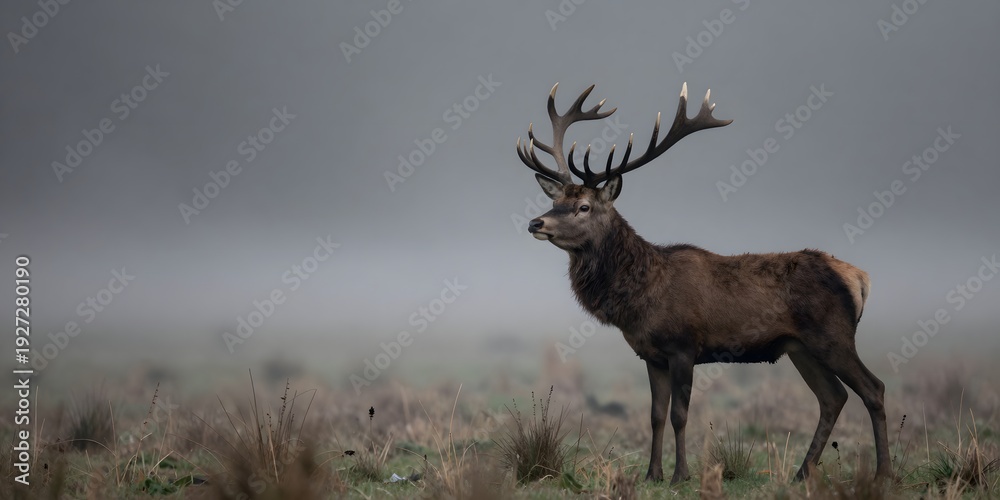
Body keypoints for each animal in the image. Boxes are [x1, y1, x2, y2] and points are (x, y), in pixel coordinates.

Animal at [515, 82, 890, 484]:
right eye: (555, 201)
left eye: (583, 206)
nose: (536, 222)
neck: (641, 299)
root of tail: (859, 277)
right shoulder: (651, 355)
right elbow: (655, 416)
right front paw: (652, 475)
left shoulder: (684, 346)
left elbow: (680, 415)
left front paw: (681, 475)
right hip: (800, 347)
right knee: (832, 397)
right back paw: (802, 474)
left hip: (833, 336)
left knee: (874, 388)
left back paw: (883, 473)